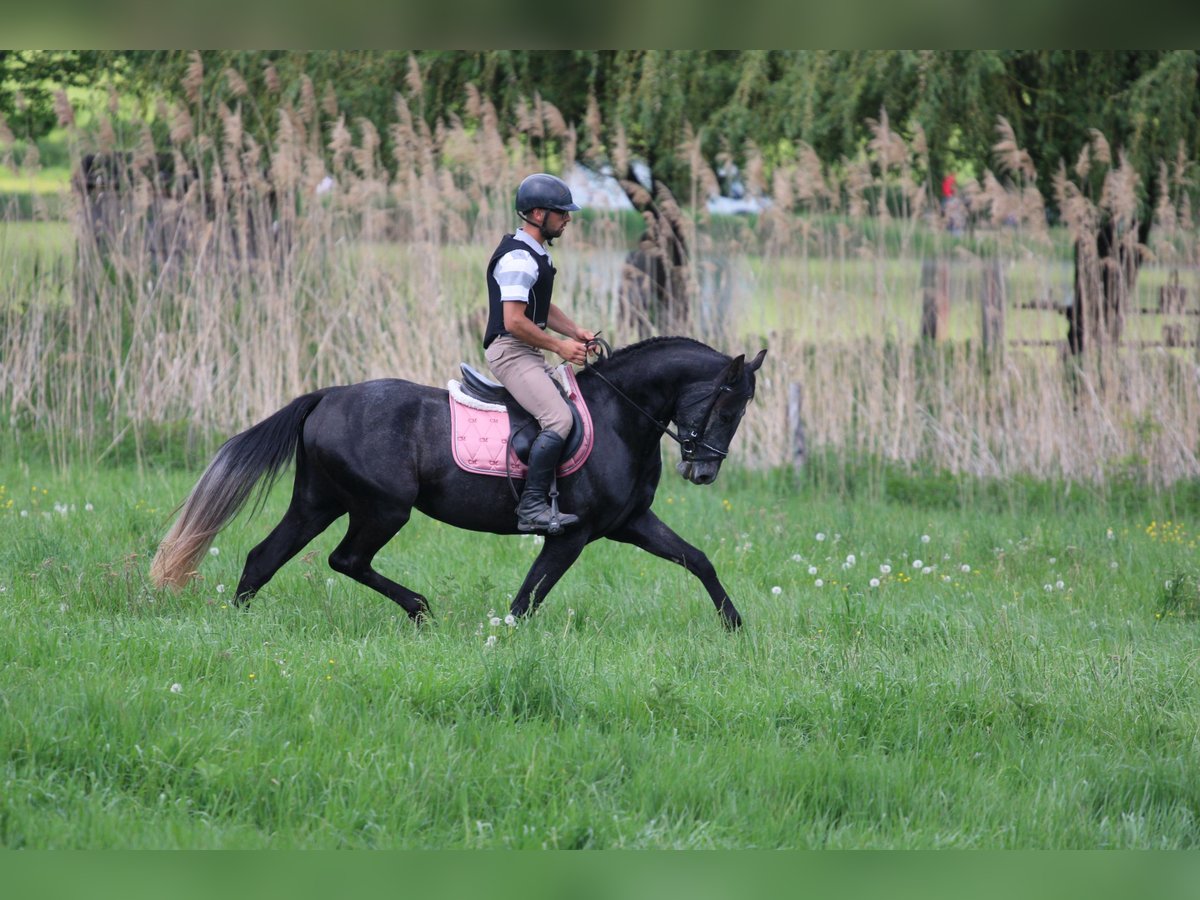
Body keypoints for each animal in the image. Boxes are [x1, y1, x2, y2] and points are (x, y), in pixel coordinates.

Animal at [150, 337, 767, 629]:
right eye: (728, 406)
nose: (703, 471)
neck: (620, 416)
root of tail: (327, 395)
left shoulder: (631, 522)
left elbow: (698, 559)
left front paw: (736, 627)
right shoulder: (571, 535)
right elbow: (527, 599)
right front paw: (503, 641)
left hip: (319, 501)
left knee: (264, 556)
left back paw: (239, 624)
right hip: (383, 508)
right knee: (345, 560)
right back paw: (420, 608)